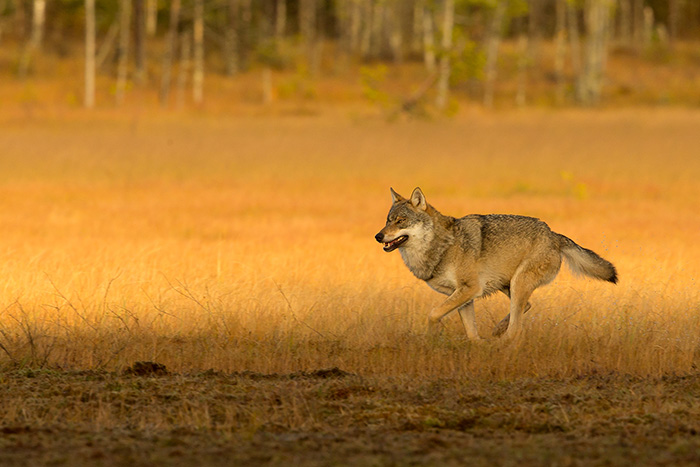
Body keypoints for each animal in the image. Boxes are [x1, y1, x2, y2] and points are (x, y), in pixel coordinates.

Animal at [375, 187, 617, 339]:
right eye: (387, 220)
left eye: (401, 221)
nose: (378, 236)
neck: (443, 246)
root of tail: (553, 234)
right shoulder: (463, 296)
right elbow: (471, 333)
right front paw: (477, 346)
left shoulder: (469, 289)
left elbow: (433, 314)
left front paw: (433, 336)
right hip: (507, 286)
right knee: (525, 309)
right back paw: (497, 332)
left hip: (517, 284)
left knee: (516, 329)